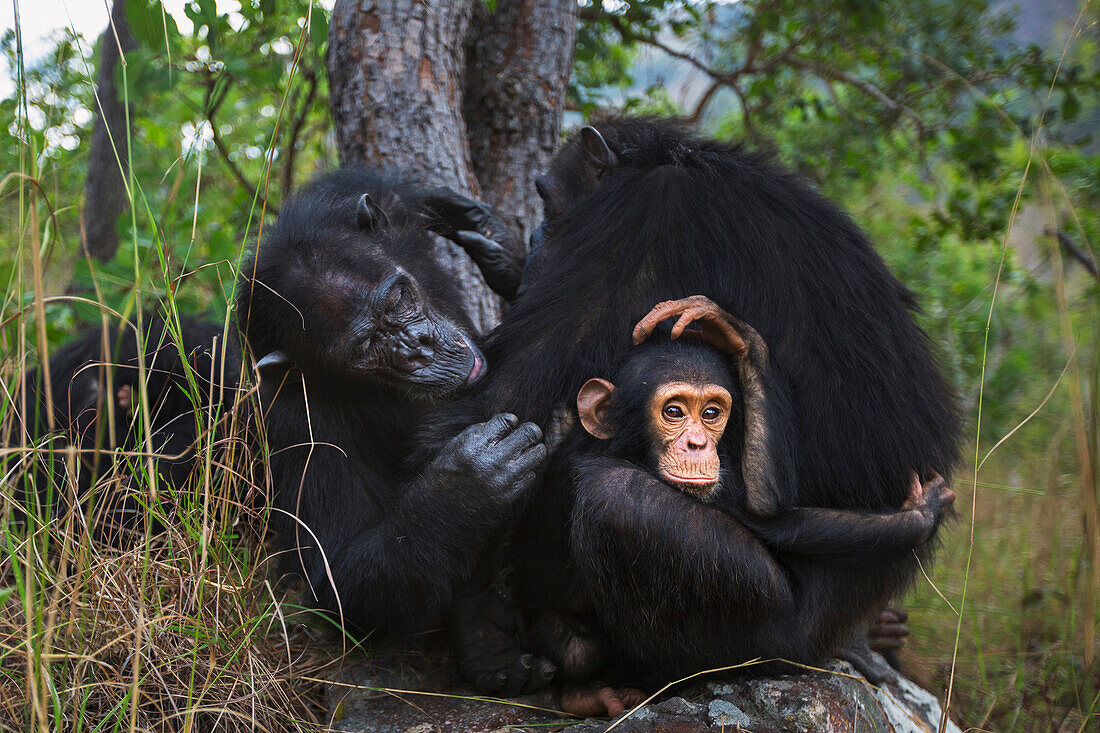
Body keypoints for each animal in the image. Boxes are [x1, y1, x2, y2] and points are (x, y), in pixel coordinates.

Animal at [514, 299, 954, 713]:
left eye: (711, 413)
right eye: (673, 411)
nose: (698, 444)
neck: (619, 449)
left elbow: (766, 508)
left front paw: (733, 332)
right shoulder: (635, 493)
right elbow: (779, 531)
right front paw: (923, 514)